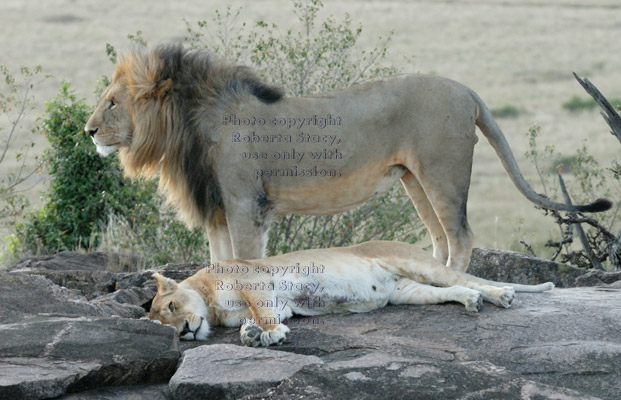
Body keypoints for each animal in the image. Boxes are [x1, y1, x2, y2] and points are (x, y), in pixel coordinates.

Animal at [83, 43, 612, 272]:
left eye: (111, 102)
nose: (88, 131)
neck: (188, 127)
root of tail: (466, 90)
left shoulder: (243, 202)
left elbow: (246, 261)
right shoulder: (215, 206)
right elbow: (218, 262)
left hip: (442, 173)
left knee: (461, 236)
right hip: (415, 180)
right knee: (440, 236)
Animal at [149, 241, 552, 346]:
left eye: (172, 306)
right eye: (165, 325)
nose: (184, 331)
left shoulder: (254, 280)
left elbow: (262, 313)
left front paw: (271, 334)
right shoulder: (281, 305)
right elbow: (254, 321)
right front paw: (252, 336)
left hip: (419, 264)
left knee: (469, 278)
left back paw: (501, 295)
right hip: (405, 291)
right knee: (453, 288)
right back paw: (471, 302)